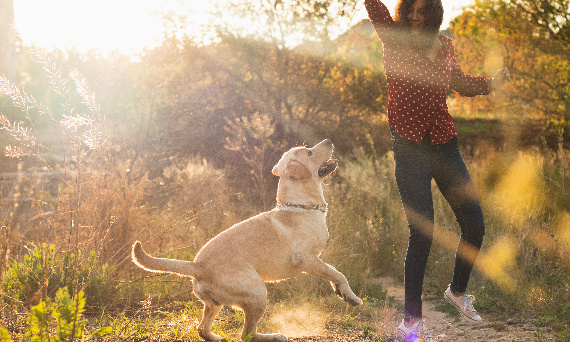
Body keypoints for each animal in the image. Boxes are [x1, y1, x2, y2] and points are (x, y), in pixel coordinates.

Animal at [130, 140, 360, 342]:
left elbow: (333, 272)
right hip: (258, 293)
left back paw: (215, 337)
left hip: (214, 304)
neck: (300, 206)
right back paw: (274, 336)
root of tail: (197, 266)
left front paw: (341, 292)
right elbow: (338, 274)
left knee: (202, 328)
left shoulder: (315, 261)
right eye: (309, 152)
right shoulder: (306, 259)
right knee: (247, 334)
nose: (329, 140)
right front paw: (352, 297)